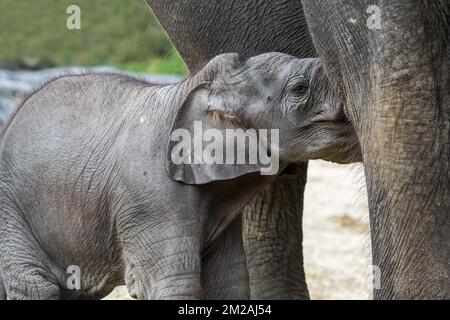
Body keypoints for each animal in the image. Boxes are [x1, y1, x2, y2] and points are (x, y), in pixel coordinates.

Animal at [0, 53, 358, 300]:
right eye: (299, 88)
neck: (194, 87)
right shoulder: (151, 200)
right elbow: (174, 287)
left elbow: (229, 286)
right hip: (11, 213)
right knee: (35, 286)